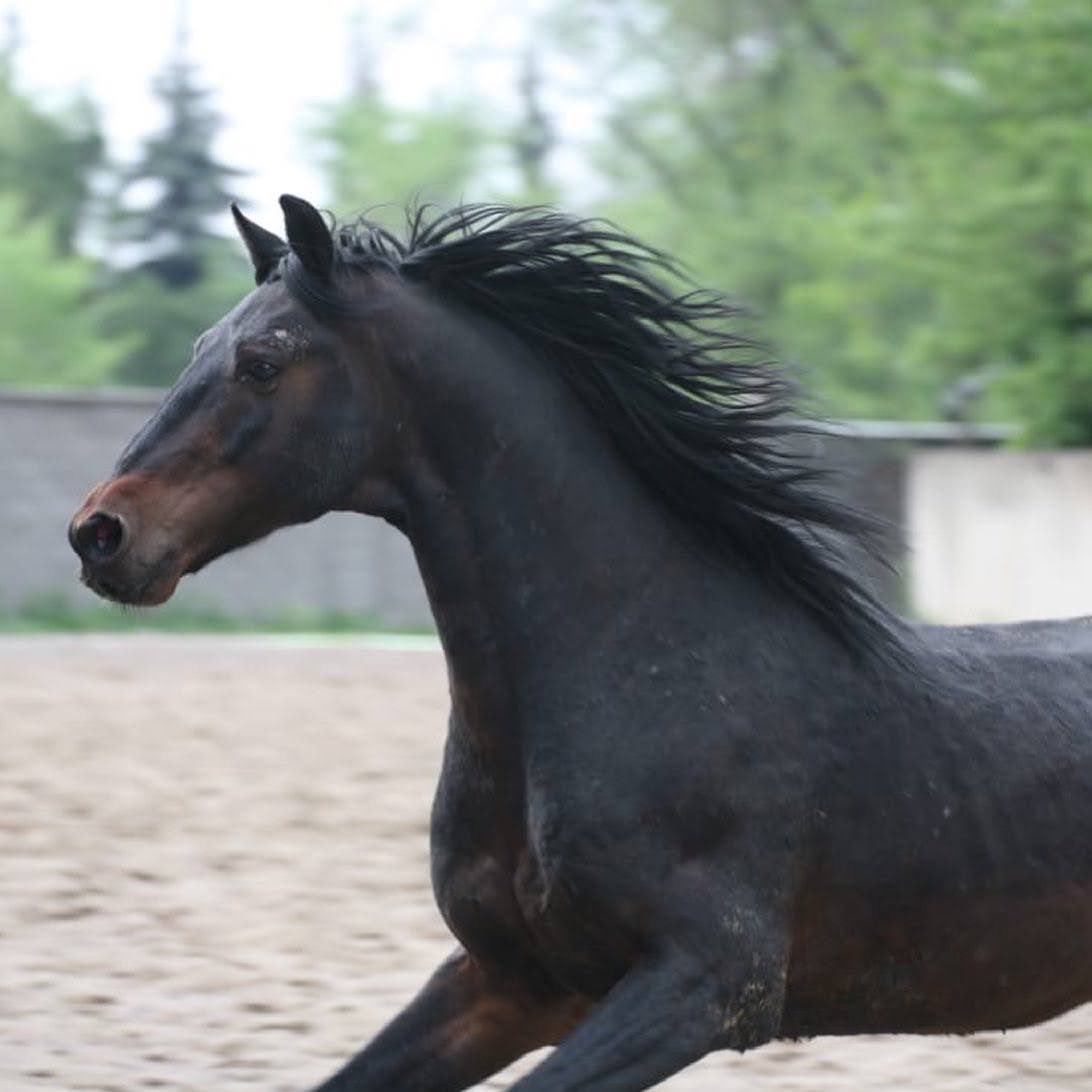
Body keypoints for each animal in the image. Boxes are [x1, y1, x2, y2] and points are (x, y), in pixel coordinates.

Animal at [69, 194, 1092, 1091]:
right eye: (202, 347)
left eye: (263, 362)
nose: (101, 534)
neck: (637, 668)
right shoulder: (512, 983)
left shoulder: (705, 988)